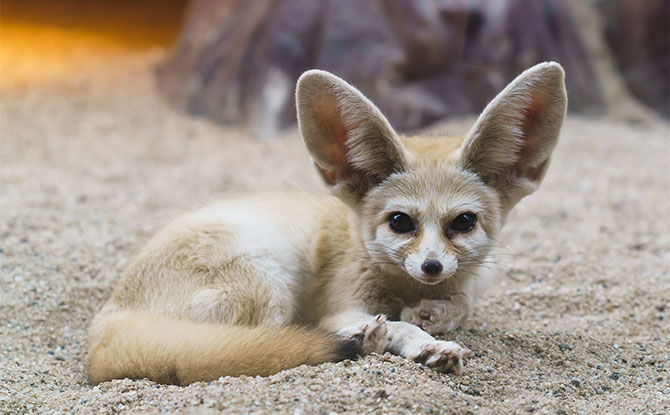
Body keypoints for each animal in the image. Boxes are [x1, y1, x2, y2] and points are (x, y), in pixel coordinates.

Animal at [88, 61, 568, 386]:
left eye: (463, 222)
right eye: (400, 222)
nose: (431, 266)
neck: (405, 288)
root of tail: (107, 320)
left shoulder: (471, 284)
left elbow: (459, 306)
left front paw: (434, 316)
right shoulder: (340, 304)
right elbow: (395, 324)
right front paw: (423, 341)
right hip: (268, 282)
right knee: (263, 346)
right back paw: (362, 340)